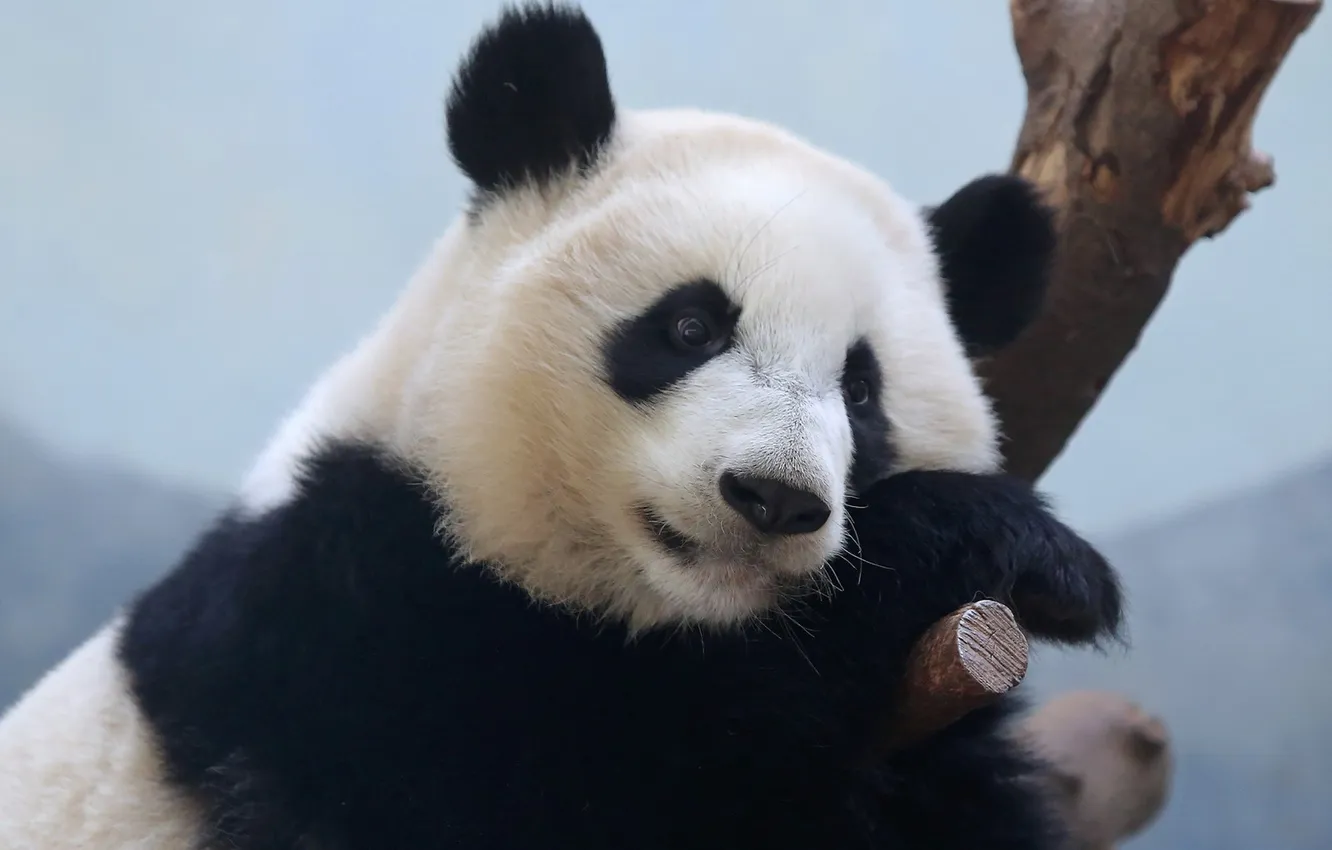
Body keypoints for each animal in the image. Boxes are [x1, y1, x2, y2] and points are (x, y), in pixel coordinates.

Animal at [0, 4, 1122, 849]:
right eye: (689, 325)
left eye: (861, 391)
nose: (772, 497)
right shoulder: (341, 632)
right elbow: (600, 773)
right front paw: (992, 541)